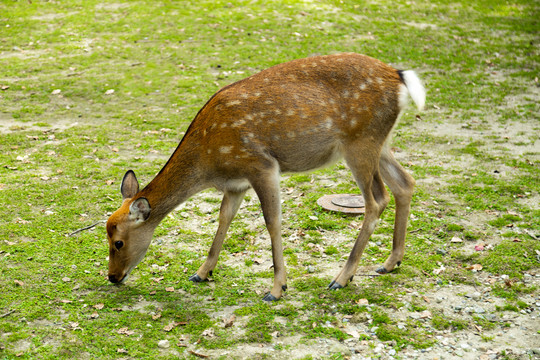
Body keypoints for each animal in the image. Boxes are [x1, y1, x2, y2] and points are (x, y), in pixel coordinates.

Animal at [105, 52, 426, 300]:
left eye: (117, 241)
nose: (112, 276)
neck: (209, 162)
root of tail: (399, 76)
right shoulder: (235, 185)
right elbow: (223, 218)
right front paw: (201, 272)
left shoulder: (261, 165)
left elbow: (272, 221)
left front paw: (277, 288)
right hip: (379, 142)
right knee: (405, 183)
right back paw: (390, 262)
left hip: (360, 143)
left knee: (377, 200)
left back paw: (341, 278)